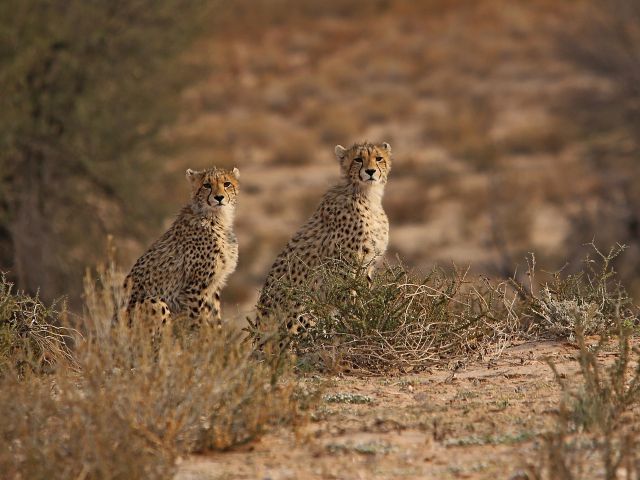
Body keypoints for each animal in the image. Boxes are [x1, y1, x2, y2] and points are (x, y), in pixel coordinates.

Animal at [123, 166, 240, 330]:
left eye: (227, 184)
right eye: (207, 185)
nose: (219, 198)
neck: (218, 218)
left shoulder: (214, 285)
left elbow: (215, 319)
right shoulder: (195, 288)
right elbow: (197, 321)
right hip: (155, 303)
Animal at [254, 141, 390, 340]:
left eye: (379, 158)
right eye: (358, 159)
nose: (370, 171)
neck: (367, 194)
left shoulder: (368, 264)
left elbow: (365, 292)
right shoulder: (343, 266)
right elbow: (351, 297)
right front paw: (358, 320)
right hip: (303, 316)